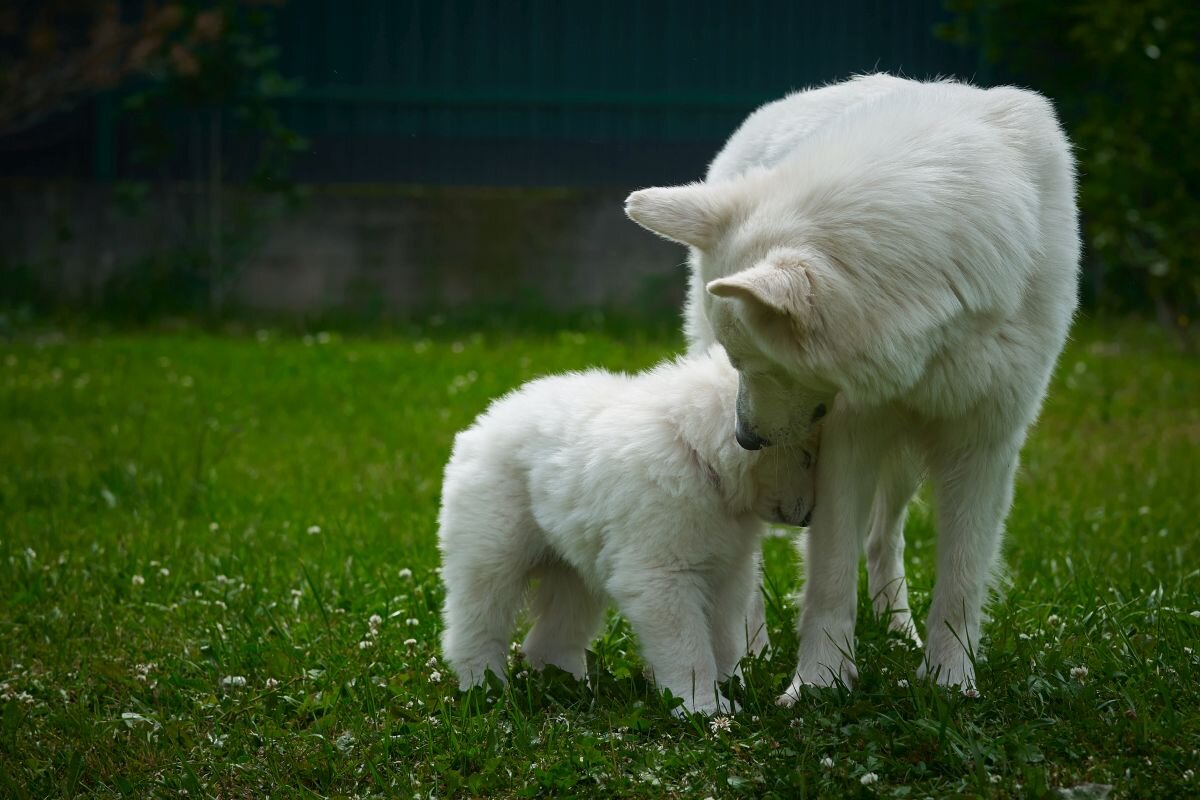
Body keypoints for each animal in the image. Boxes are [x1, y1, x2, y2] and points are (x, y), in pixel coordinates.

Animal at [441, 345, 816, 714]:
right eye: (809, 457)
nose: (810, 518)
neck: (696, 453)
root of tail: (481, 425)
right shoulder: (662, 577)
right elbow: (688, 648)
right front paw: (705, 707)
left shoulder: (728, 573)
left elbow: (723, 636)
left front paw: (730, 686)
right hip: (489, 555)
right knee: (476, 626)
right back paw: (484, 688)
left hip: (575, 574)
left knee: (549, 638)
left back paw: (569, 688)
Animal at [624, 76, 1084, 700]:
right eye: (735, 362)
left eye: (755, 362)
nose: (745, 438)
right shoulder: (847, 442)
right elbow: (830, 577)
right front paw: (819, 684)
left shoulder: (983, 444)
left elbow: (960, 581)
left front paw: (948, 683)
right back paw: (751, 647)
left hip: (905, 464)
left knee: (883, 540)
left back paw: (897, 631)